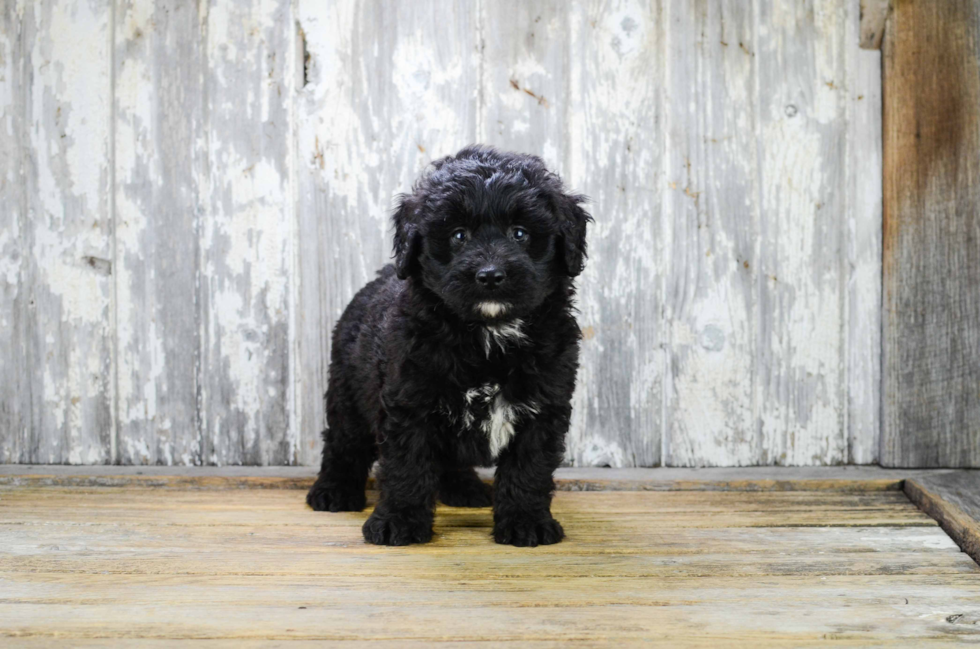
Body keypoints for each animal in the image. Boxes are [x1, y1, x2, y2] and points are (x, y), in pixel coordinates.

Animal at [306, 144, 592, 544]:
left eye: (519, 234)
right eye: (458, 236)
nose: (490, 275)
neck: (488, 335)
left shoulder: (543, 404)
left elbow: (529, 467)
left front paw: (526, 521)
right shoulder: (409, 401)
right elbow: (407, 465)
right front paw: (398, 521)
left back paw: (463, 489)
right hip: (347, 387)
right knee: (344, 440)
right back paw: (334, 490)